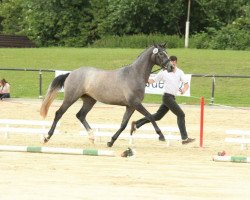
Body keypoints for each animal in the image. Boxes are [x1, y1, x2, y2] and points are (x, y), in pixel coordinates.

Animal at [40, 44, 174, 147]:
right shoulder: (136, 104)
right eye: (161, 54)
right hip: (70, 98)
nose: (171, 67)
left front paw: (111, 142)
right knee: (59, 113)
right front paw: (161, 136)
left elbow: (123, 124)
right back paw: (47, 137)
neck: (134, 75)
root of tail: (71, 73)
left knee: (81, 115)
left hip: (90, 100)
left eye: (166, 53)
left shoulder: (130, 106)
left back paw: (92, 137)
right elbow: (150, 116)